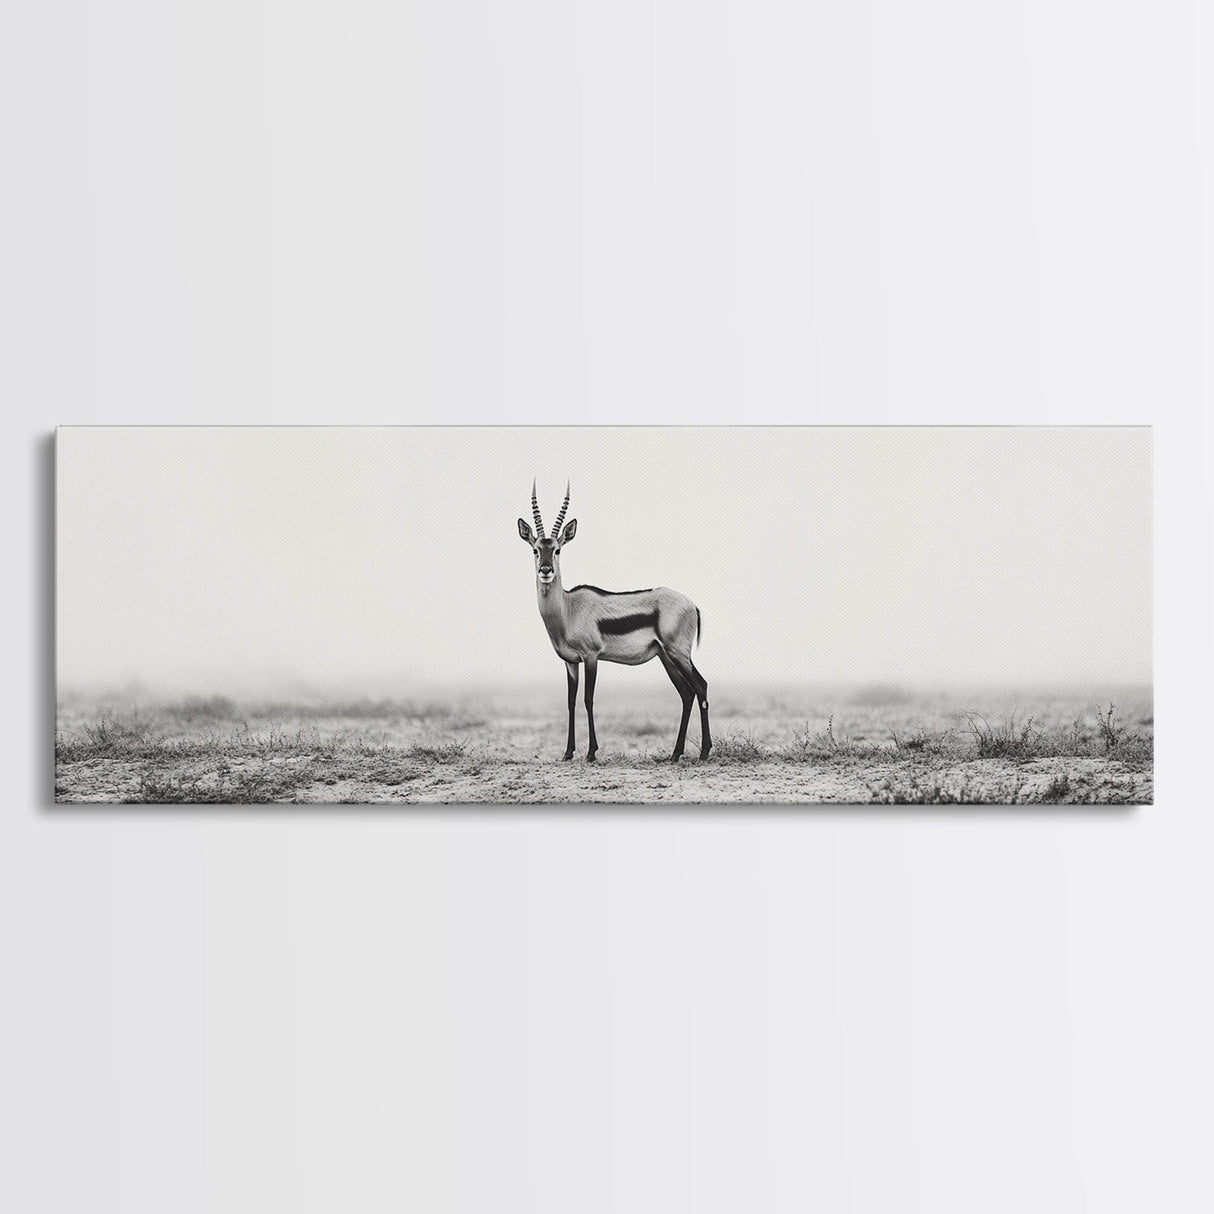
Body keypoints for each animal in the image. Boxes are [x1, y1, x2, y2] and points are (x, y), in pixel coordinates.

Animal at [518, 481, 712, 763]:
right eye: (535, 549)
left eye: (557, 549)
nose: (545, 570)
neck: (568, 609)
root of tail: (692, 604)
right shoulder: (570, 663)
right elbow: (570, 702)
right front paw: (567, 753)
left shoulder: (591, 657)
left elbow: (588, 700)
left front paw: (591, 753)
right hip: (666, 657)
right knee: (687, 695)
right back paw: (675, 754)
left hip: (678, 654)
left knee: (701, 687)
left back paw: (704, 752)